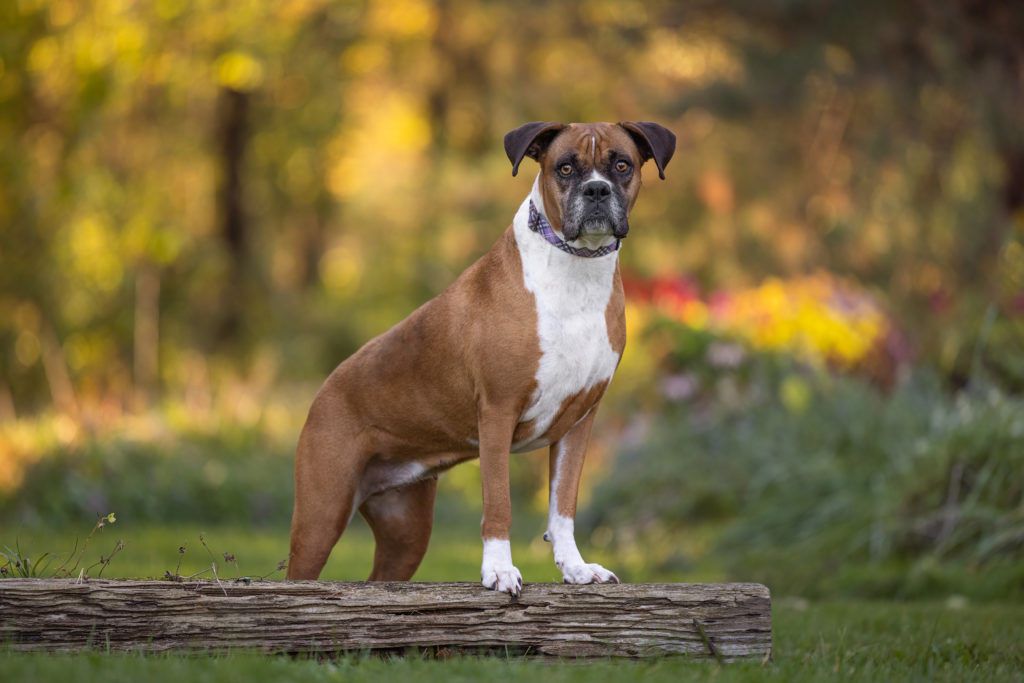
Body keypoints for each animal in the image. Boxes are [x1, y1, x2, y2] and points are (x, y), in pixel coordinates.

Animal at [288, 121, 671, 593]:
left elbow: (563, 506)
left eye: (622, 165)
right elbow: (499, 502)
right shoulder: (498, 413)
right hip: (321, 517)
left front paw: (577, 568)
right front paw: (499, 570)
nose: (596, 189)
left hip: (405, 532)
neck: (576, 269)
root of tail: (326, 387)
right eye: (564, 168)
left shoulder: (579, 423)